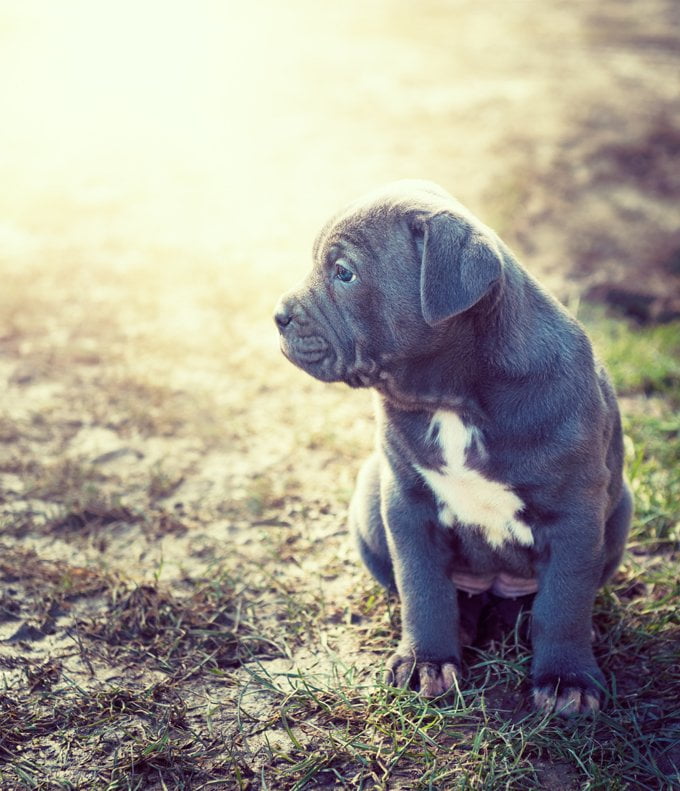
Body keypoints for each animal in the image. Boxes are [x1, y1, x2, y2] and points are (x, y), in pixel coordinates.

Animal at [274, 181, 632, 716]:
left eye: (344, 272)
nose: (278, 315)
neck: (453, 399)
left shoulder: (575, 514)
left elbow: (564, 601)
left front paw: (566, 679)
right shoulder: (407, 504)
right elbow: (422, 587)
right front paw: (427, 662)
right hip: (368, 498)